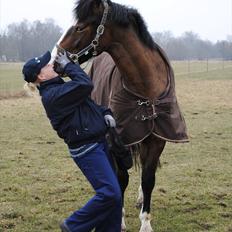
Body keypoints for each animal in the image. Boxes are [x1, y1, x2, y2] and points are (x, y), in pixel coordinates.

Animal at [54, 0, 188, 231]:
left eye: (80, 27)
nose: (55, 62)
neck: (146, 87)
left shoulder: (156, 140)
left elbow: (148, 178)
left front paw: (145, 223)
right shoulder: (117, 138)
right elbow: (121, 178)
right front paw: (119, 218)